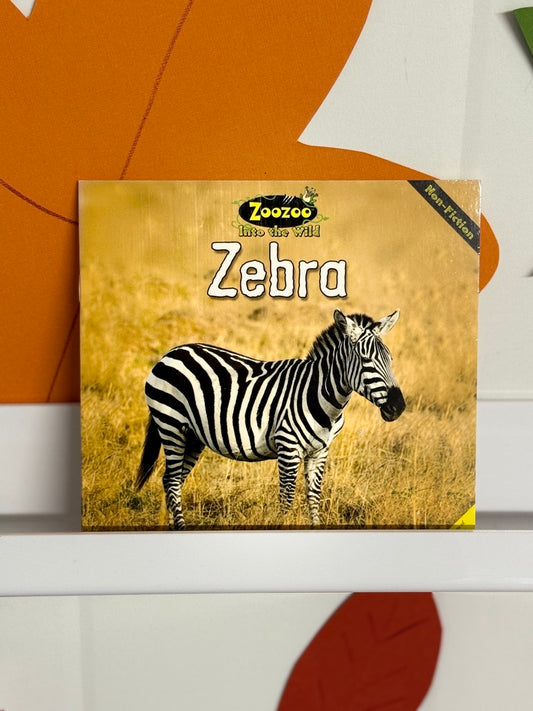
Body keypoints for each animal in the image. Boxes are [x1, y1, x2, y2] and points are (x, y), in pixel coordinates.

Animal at [136, 309, 405, 529]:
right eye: (365, 360)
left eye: (391, 360)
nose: (398, 407)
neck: (321, 394)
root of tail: (172, 352)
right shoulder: (288, 448)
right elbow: (286, 500)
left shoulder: (320, 451)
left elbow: (314, 497)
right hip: (171, 425)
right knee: (172, 481)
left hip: (193, 436)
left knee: (171, 481)